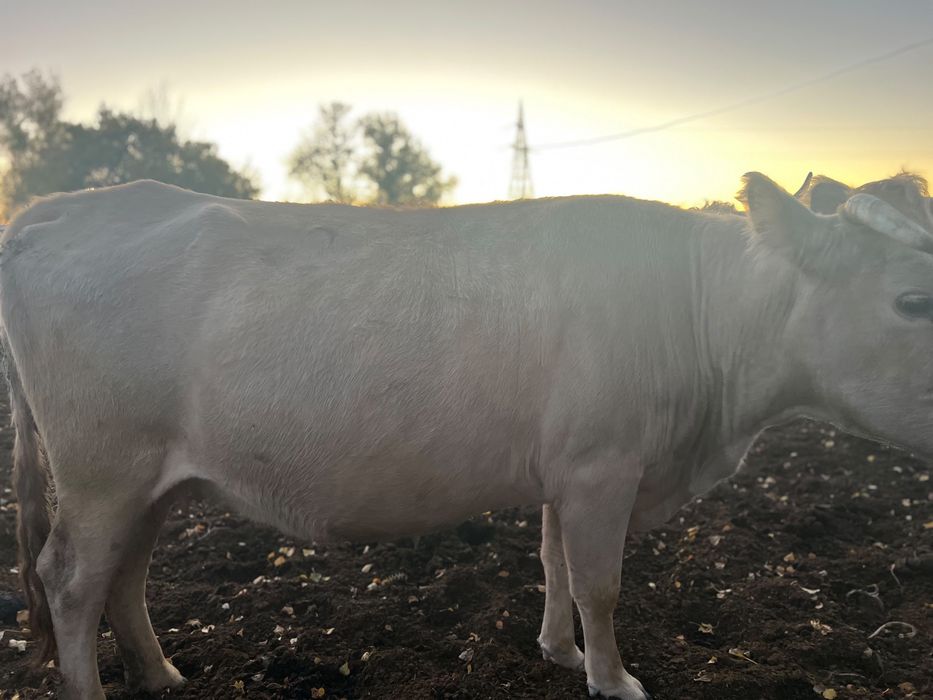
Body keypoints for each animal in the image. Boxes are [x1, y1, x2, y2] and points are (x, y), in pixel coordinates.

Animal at [2, 172, 932, 700]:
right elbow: (599, 584)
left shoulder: (568, 467)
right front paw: (613, 680)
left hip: (146, 477)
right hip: (99, 468)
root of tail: (56, 210)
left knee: (126, 574)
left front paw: (558, 652)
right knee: (70, 582)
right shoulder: (602, 466)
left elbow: (554, 565)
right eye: (912, 299)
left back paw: (159, 675)